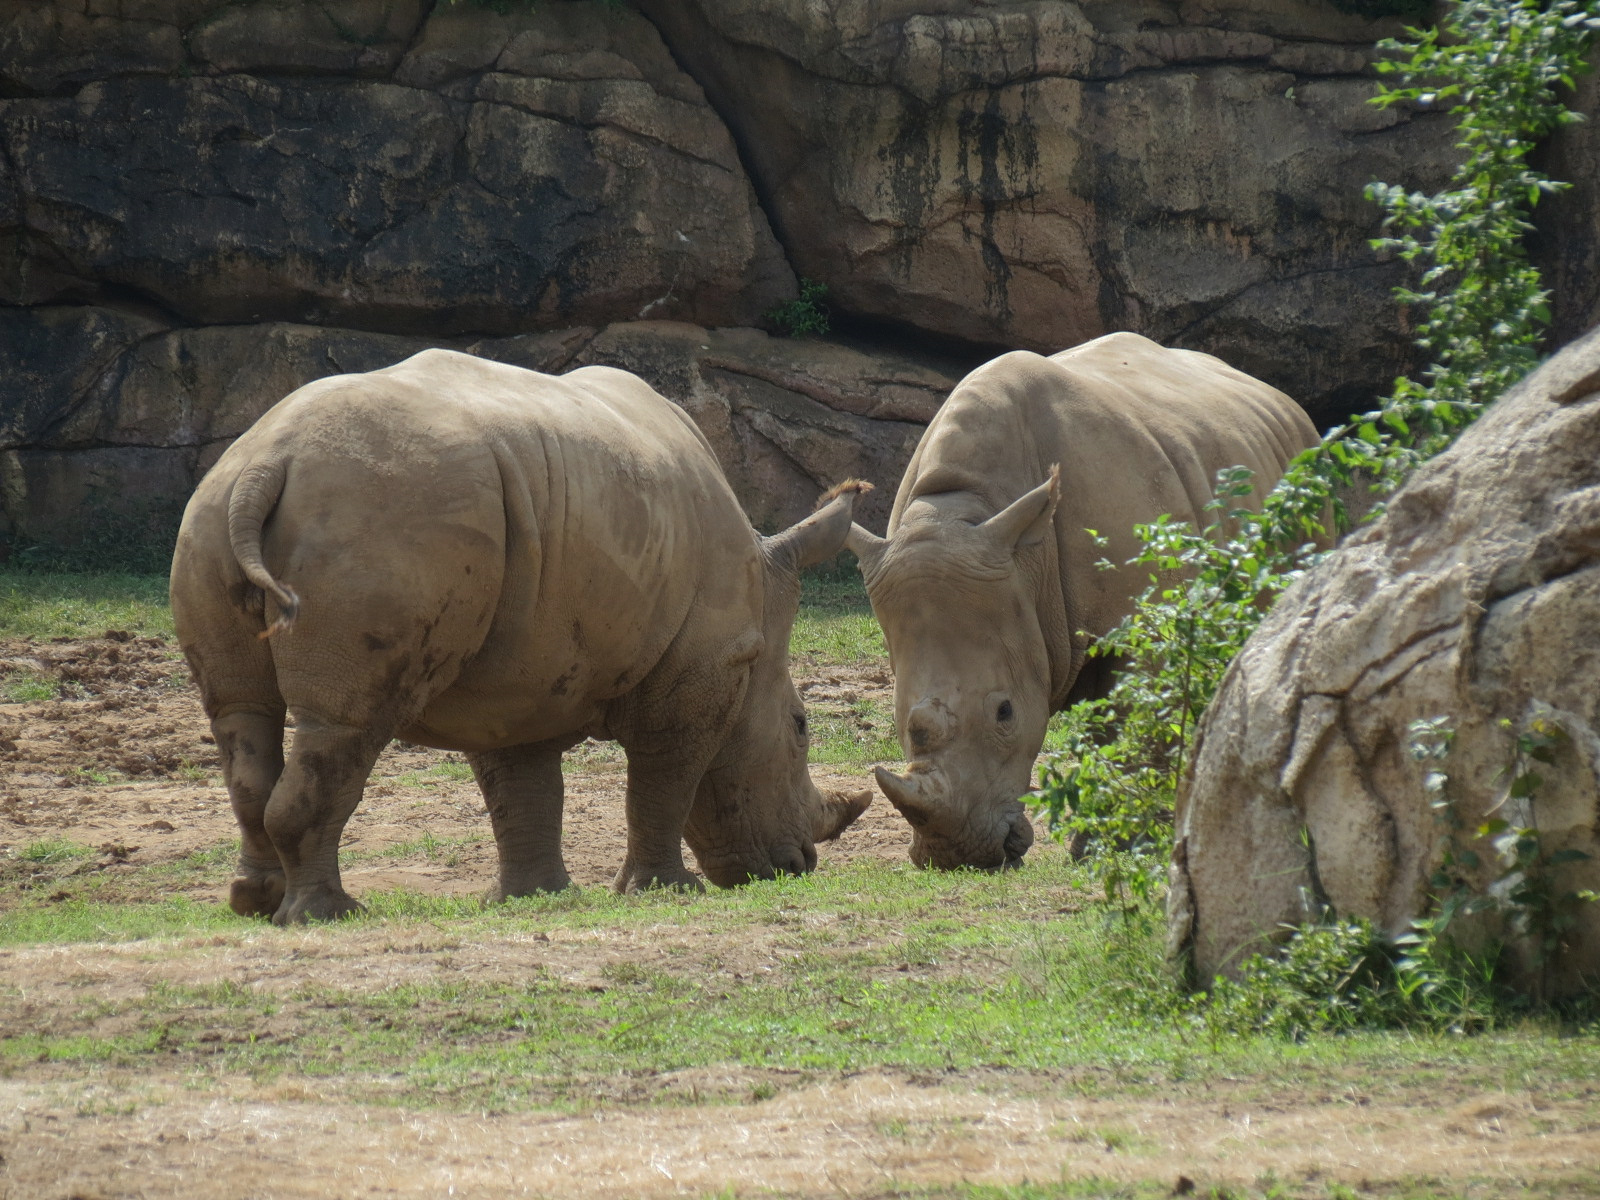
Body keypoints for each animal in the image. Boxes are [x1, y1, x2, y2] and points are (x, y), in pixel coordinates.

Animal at [171, 349, 871, 924]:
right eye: (801, 728)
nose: (797, 865)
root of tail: (269, 459)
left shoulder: (517, 675)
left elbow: (521, 783)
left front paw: (536, 898)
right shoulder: (703, 663)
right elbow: (664, 775)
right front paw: (666, 891)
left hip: (216, 514)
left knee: (241, 715)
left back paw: (256, 904)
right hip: (383, 515)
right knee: (347, 725)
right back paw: (327, 915)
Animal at [846, 332, 1320, 870]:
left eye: (1005, 712)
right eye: (902, 720)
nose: (957, 855)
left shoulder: (1144, 621)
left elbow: (1138, 721)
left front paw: (1132, 844)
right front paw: (1096, 846)